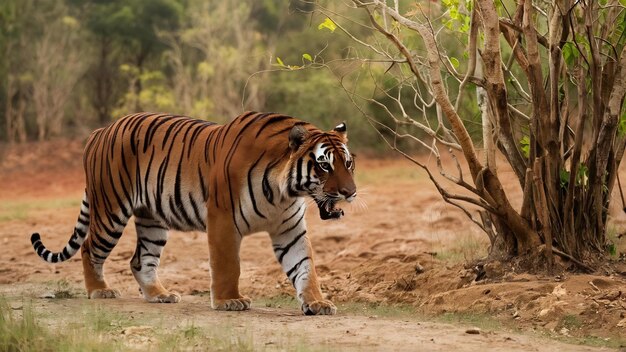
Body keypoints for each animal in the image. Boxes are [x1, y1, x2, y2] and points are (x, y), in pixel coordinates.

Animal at [30, 111, 356, 314]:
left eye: (348, 163)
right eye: (324, 165)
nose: (350, 193)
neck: (283, 192)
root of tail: (100, 131)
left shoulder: (290, 229)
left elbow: (305, 267)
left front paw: (317, 303)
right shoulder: (223, 219)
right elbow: (228, 265)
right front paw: (229, 301)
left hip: (152, 220)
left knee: (141, 260)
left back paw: (159, 295)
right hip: (111, 209)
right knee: (89, 248)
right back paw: (99, 290)